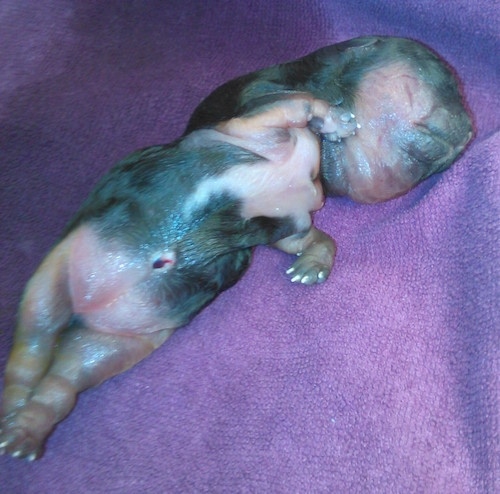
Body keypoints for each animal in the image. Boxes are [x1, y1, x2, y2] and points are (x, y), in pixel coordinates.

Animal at [0, 95, 356, 460]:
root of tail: (88, 309)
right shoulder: (250, 129)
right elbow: (298, 104)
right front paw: (338, 121)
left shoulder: (292, 222)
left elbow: (309, 240)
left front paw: (309, 267)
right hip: (56, 269)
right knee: (34, 340)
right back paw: (15, 412)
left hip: (117, 342)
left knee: (66, 378)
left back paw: (24, 432)